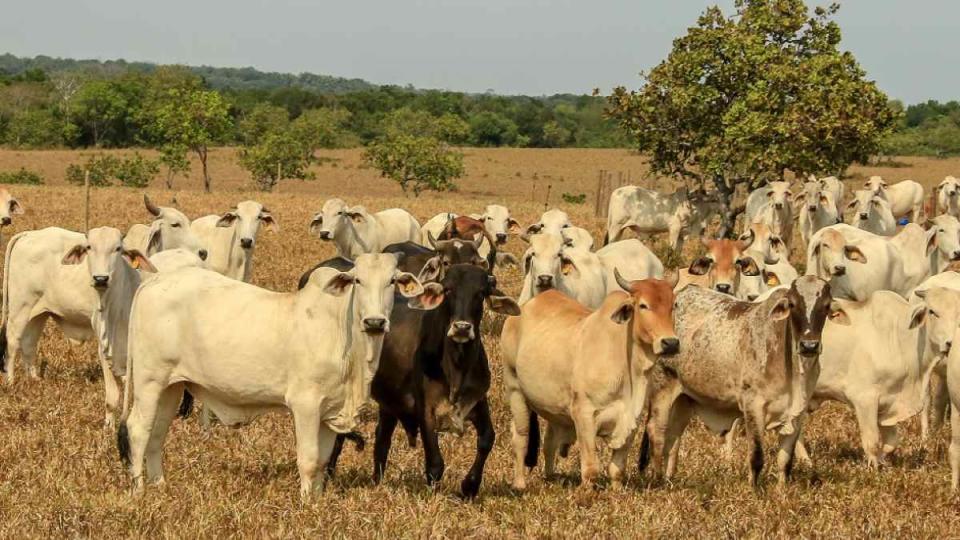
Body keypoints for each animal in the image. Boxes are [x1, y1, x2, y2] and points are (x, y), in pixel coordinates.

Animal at [498, 270, 680, 490]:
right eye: (643, 305)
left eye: (673, 305)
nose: (670, 343)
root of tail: (521, 310)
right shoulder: (584, 413)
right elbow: (591, 468)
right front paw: (587, 492)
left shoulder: (632, 420)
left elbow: (617, 468)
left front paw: (617, 491)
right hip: (515, 390)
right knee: (521, 438)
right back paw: (519, 483)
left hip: (554, 409)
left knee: (549, 442)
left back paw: (551, 477)